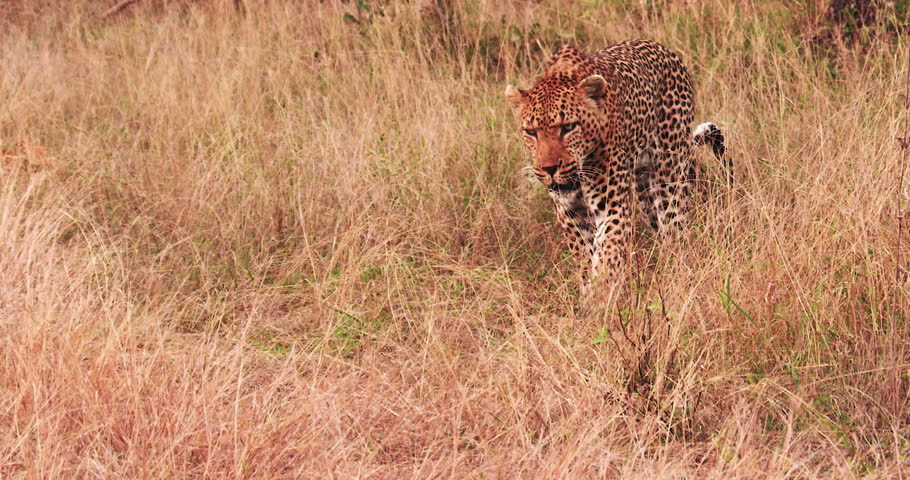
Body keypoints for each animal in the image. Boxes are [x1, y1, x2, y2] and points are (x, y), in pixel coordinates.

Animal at [505, 39, 729, 292]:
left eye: (568, 127)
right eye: (530, 132)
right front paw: (589, 291)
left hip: (668, 177)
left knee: (675, 228)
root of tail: (664, 50)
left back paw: (677, 272)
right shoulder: (571, 213)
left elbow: (607, 255)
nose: (549, 169)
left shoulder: (611, 207)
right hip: (645, 193)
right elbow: (586, 258)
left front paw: (600, 295)